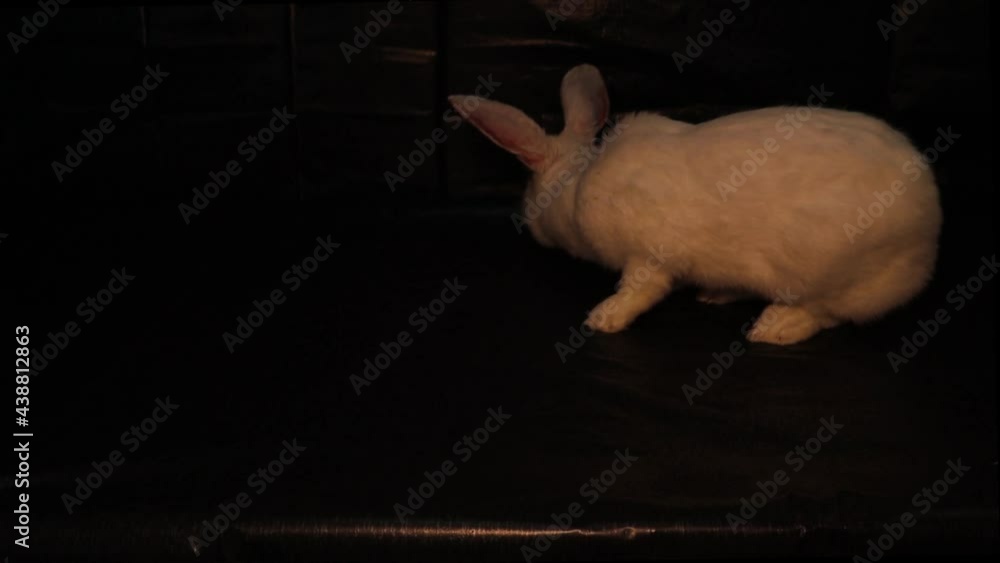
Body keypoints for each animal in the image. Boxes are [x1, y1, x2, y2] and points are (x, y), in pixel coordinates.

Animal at [448, 64, 942, 345]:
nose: (529, 225)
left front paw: (603, 318)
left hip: (833, 276)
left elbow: (639, 291)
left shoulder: (647, 258)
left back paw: (775, 327)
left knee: (827, 313)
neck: (576, 182)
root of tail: (930, 232)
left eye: (531, 193)